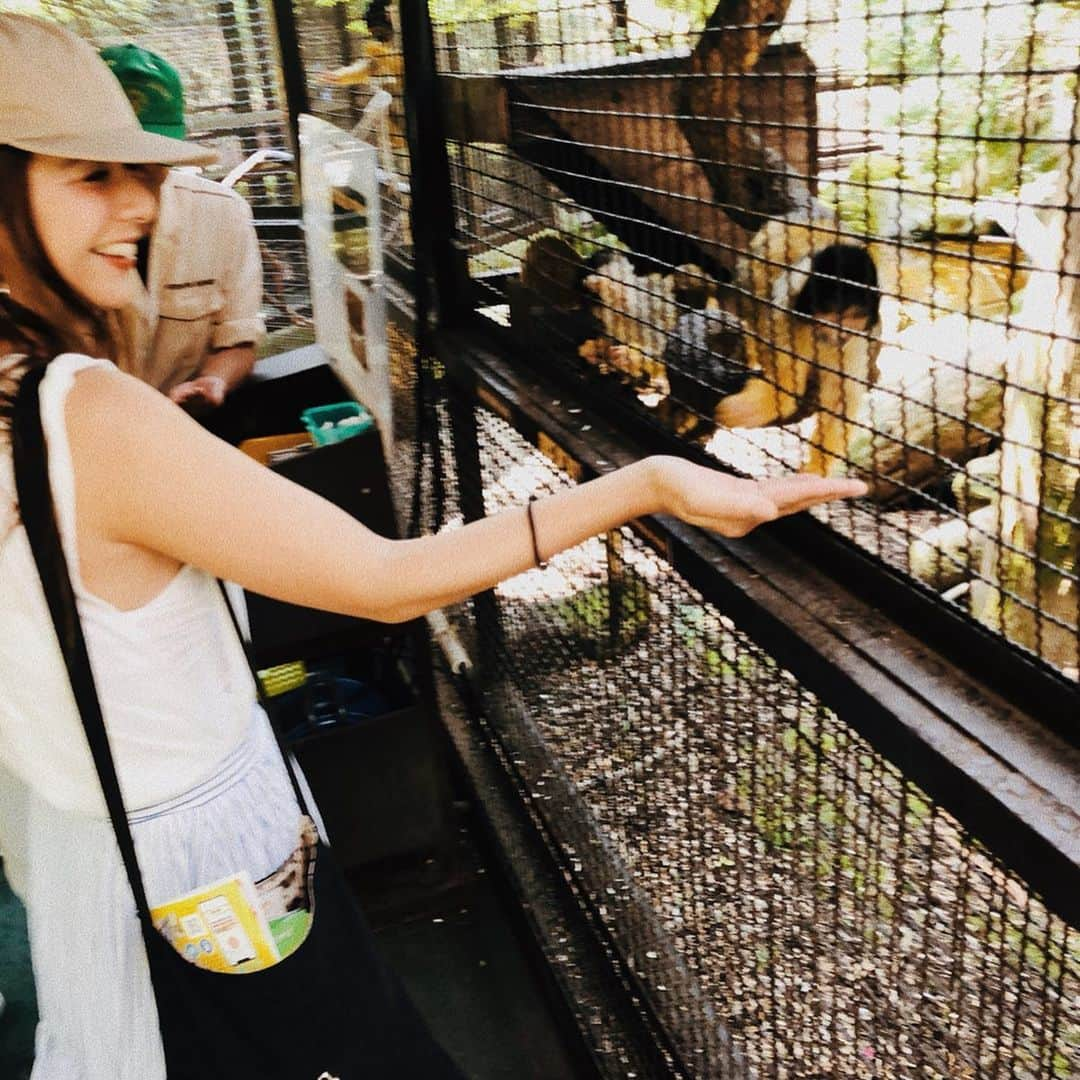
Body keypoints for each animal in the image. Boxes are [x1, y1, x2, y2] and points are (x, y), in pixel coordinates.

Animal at [717, 218, 876, 473]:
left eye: (852, 320)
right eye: (831, 318)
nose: (838, 335)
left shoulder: (858, 337)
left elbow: (841, 398)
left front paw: (815, 471)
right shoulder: (788, 308)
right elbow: (785, 384)